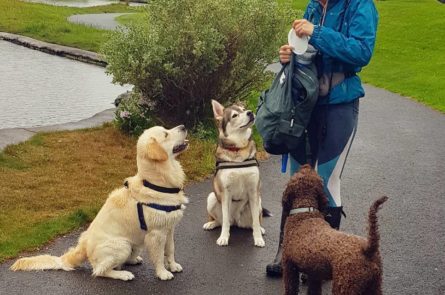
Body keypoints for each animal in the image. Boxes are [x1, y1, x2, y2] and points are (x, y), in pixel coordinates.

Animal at [11, 125, 189, 282]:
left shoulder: (169, 228)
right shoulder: (156, 234)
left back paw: (133, 260)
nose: (183, 126)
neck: (156, 182)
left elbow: (170, 249)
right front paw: (163, 273)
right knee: (100, 271)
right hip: (121, 245)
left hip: (136, 241)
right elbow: (158, 256)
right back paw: (123, 274)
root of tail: (83, 245)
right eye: (166, 134)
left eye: (167, 129)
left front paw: (173, 265)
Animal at [282, 165, 386, 294]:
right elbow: (314, 290)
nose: (306, 165)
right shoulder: (314, 273)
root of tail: (367, 248)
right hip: (374, 285)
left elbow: (290, 288)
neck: (305, 213)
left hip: (345, 285)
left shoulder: (289, 266)